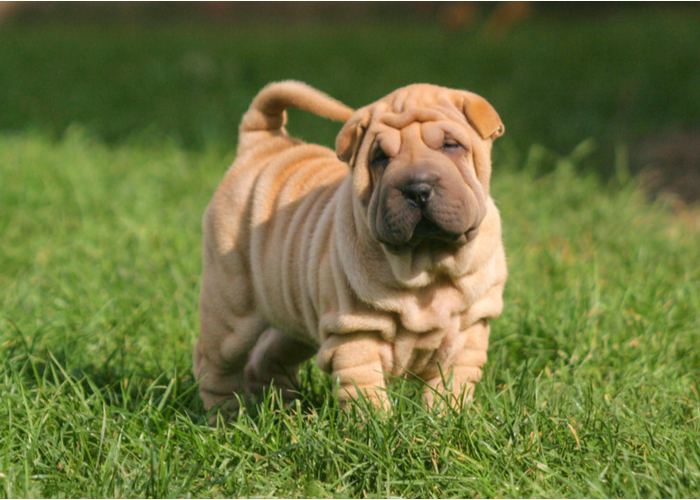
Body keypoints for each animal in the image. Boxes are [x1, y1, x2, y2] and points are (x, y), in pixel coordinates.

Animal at [194, 81, 506, 418]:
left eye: (451, 146)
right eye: (380, 157)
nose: (417, 189)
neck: (426, 263)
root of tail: (262, 144)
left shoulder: (469, 331)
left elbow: (451, 387)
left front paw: (446, 419)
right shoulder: (356, 335)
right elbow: (365, 392)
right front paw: (377, 425)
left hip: (293, 313)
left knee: (269, 355)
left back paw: (284, 410)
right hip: (230, 311)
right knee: (215, 364)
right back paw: (225, 416)